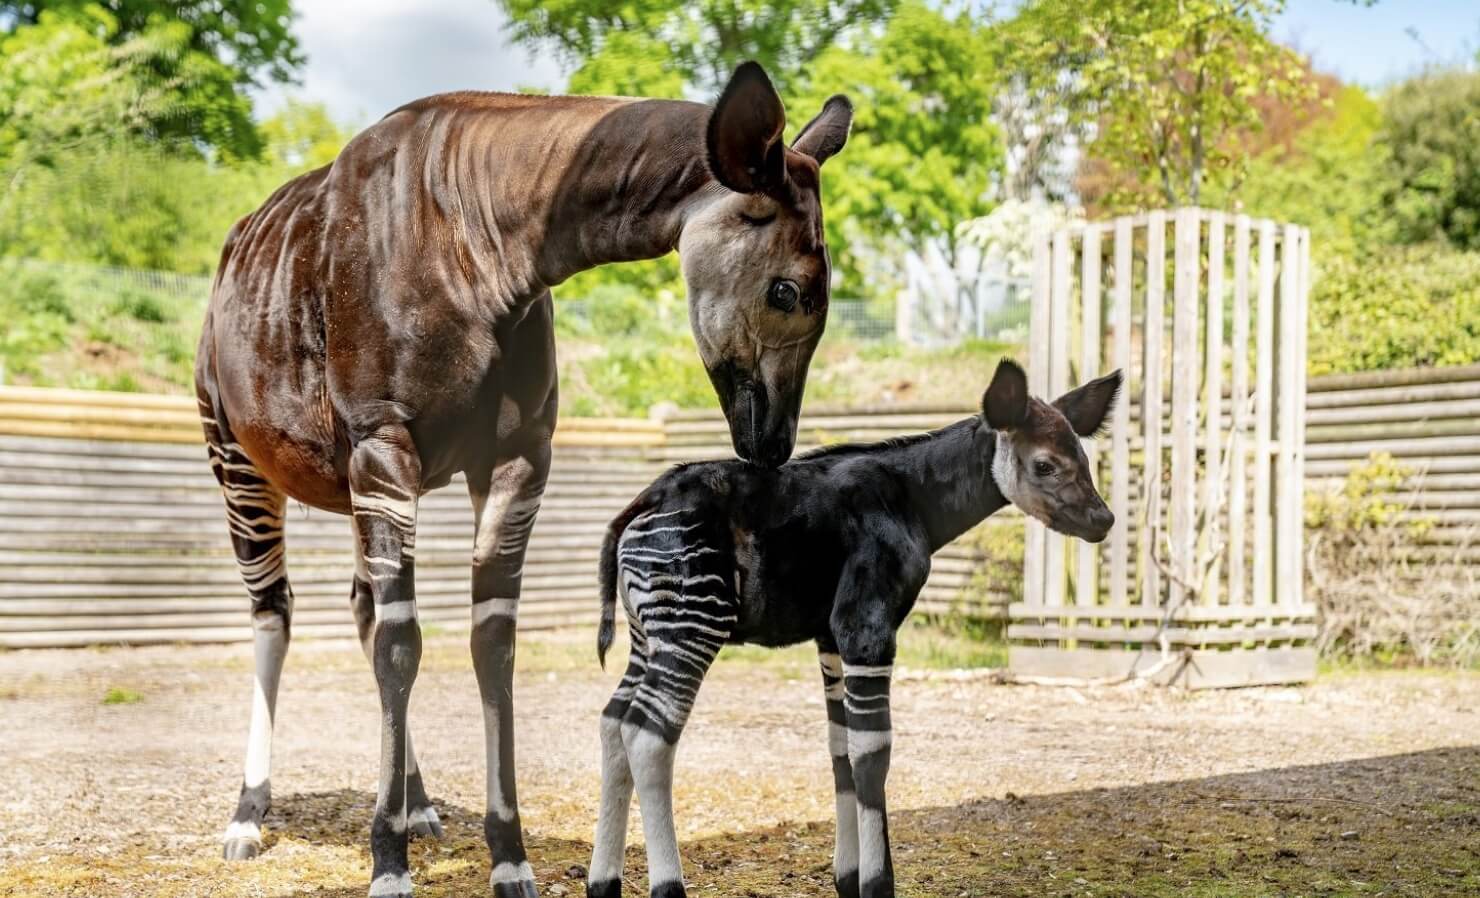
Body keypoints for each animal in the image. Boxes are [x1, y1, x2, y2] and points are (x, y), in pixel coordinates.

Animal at [583, 359, 1112, 898]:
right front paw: (878, 881)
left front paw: (848, 876)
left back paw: (603, 883)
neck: (913, 501)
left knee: (613, 724)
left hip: (648, 633)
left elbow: (840, 750)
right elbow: (872, 753)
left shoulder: (830, 637)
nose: (1103, 519)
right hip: (692, 623)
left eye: (1084, 458)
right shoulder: (867, 625)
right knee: (648, 738)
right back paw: (668, 885)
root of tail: (646, 500)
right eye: (1046, 464)